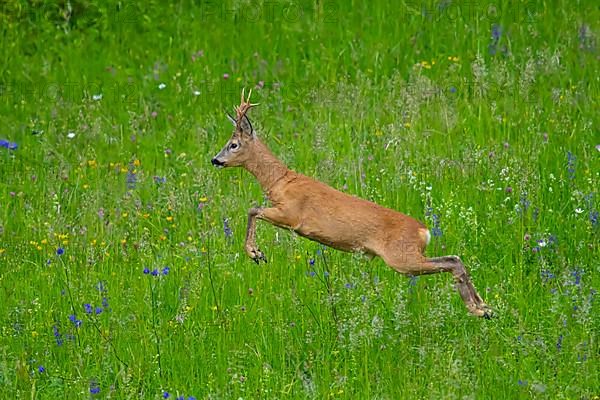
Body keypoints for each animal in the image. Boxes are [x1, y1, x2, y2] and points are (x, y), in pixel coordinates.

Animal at [211, 89, 492, 318]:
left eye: (233, 144)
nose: (215, 159)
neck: (280, 182)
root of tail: (425, 231)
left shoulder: (291, 215)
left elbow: (253, 209)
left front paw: (255, 253)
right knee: (456, 258)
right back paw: (485, 308)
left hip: (402, 257)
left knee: (451, 261)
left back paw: (477, 309)